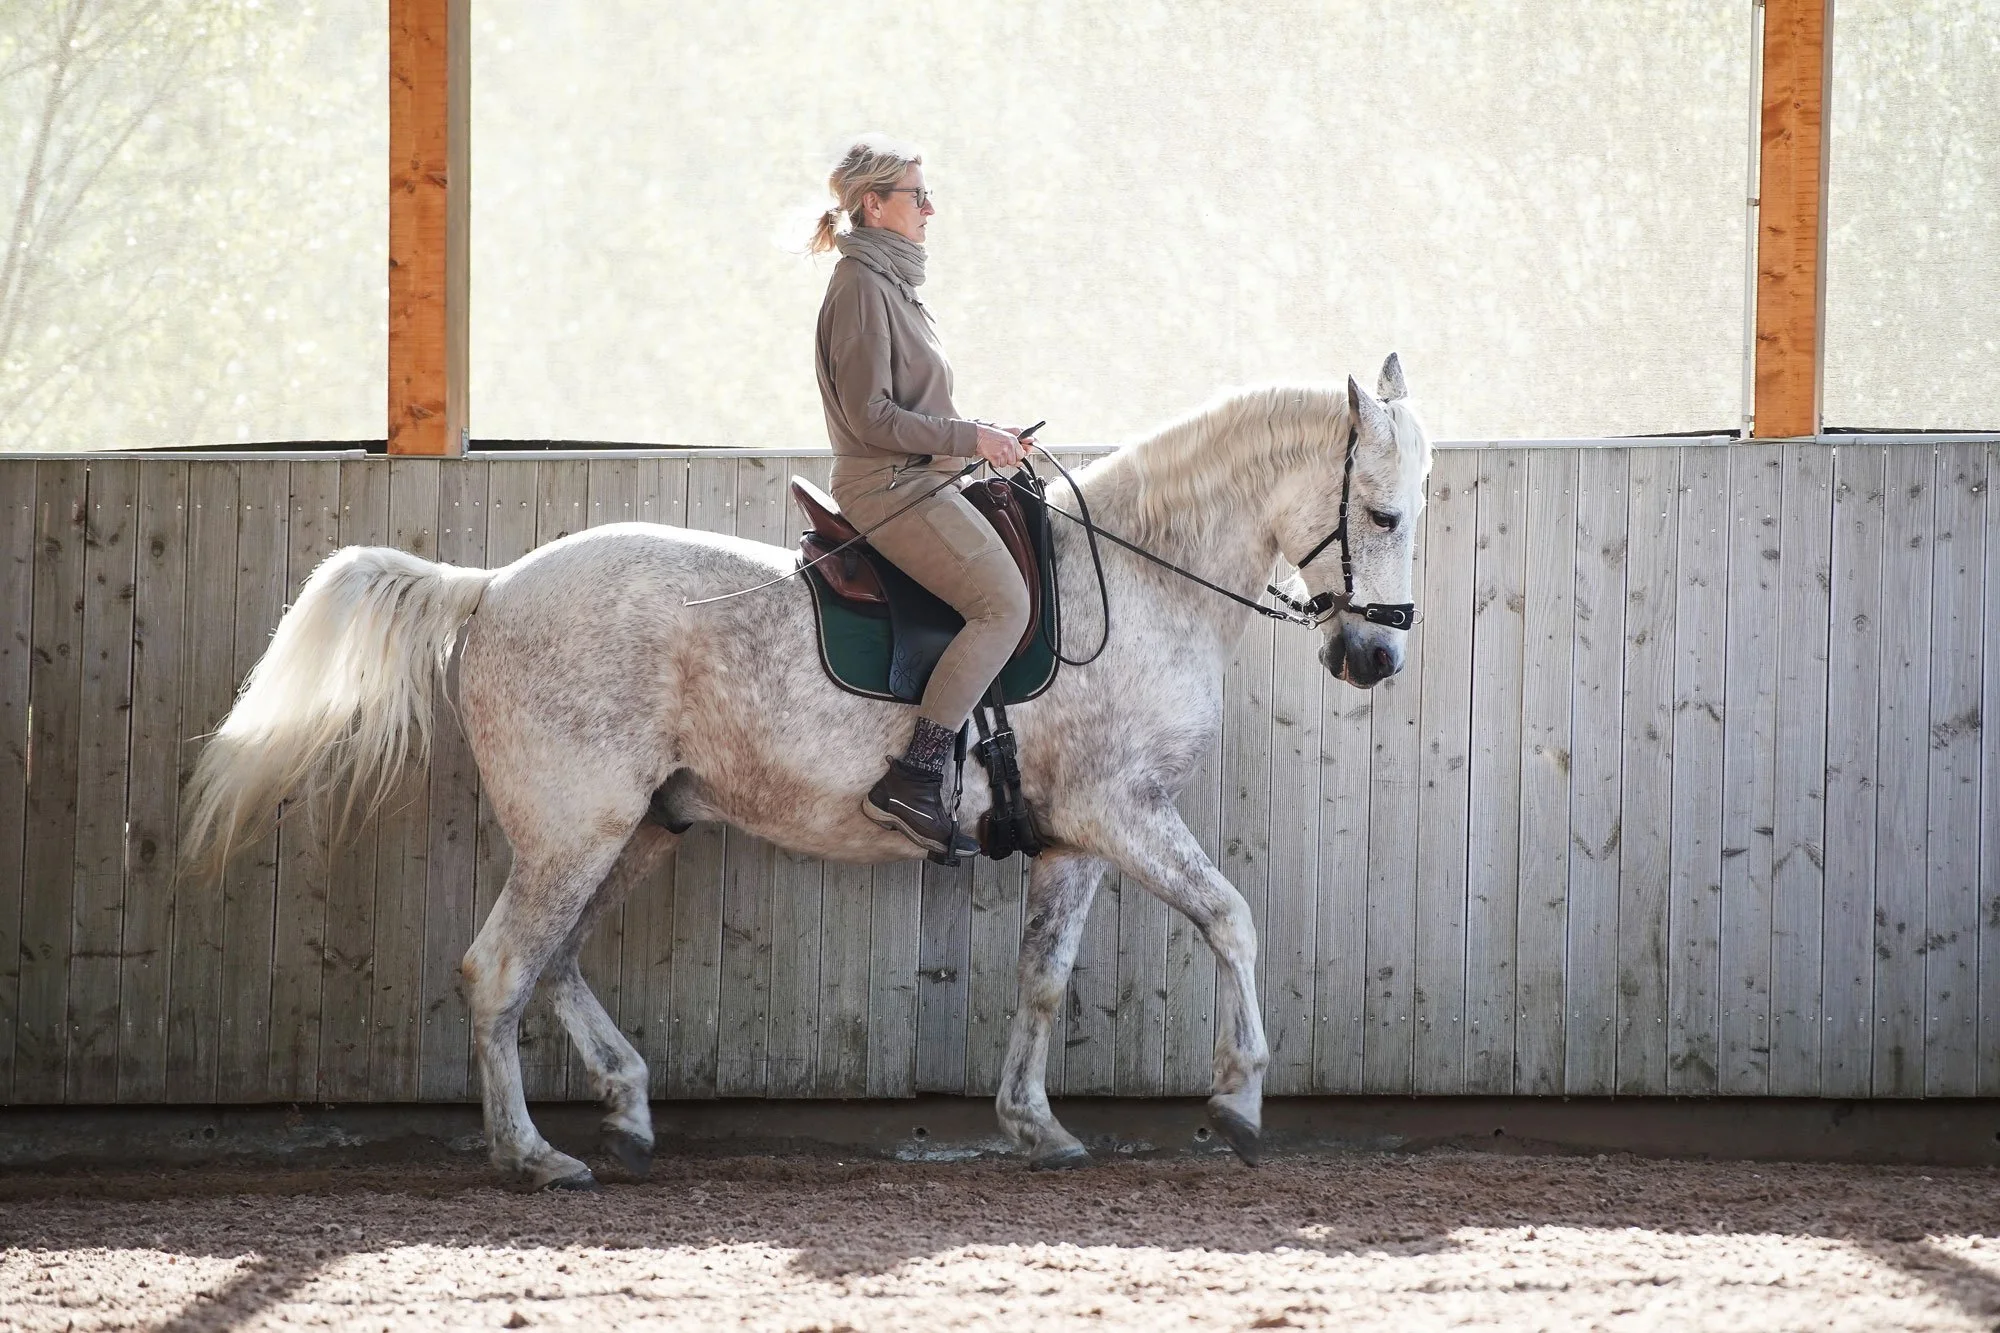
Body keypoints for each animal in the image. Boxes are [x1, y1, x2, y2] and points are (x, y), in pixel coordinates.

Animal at [180, 355, 1434, 1190]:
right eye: (1380, 512)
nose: (1373, 658)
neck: (1134, 581)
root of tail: (490, 590)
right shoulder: (1123, 812)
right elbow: (1231, 918)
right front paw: (1237, 1098)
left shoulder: (1075, 836)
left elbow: (1042, 979)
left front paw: (1035, 1127)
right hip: (573, 829)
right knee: (499, 969)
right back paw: (531, 1156)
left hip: (632, 830)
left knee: (557, 959)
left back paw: (625, 1114)